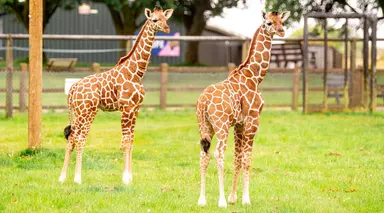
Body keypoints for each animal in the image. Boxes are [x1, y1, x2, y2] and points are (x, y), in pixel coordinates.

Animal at [57, 5, 173, 184]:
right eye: (154, 19)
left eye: (165, 18)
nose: (167, 28)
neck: (136, 72)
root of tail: (72, 89)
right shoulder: (126, 108)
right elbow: (124, 142)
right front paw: (125, 178)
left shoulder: (135, 109)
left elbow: (131, 140)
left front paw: (130, 177)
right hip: (87, 112)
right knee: (79, 138)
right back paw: (77, 178)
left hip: (79, 112)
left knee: (71, 138)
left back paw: (62, 177)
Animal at [196, 10, 290, 208]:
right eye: (269, 23)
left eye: (282, 21)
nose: (281, 31)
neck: (255, 76)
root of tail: (203, 102)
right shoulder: (253, 120)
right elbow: (247, 159)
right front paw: (245, 199)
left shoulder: (238, 124)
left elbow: (237, 158)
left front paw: (234, 197)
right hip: (221, 125)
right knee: (218, 153)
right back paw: (221, 201)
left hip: (205, 126)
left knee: (204, 154)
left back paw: (202, 200)